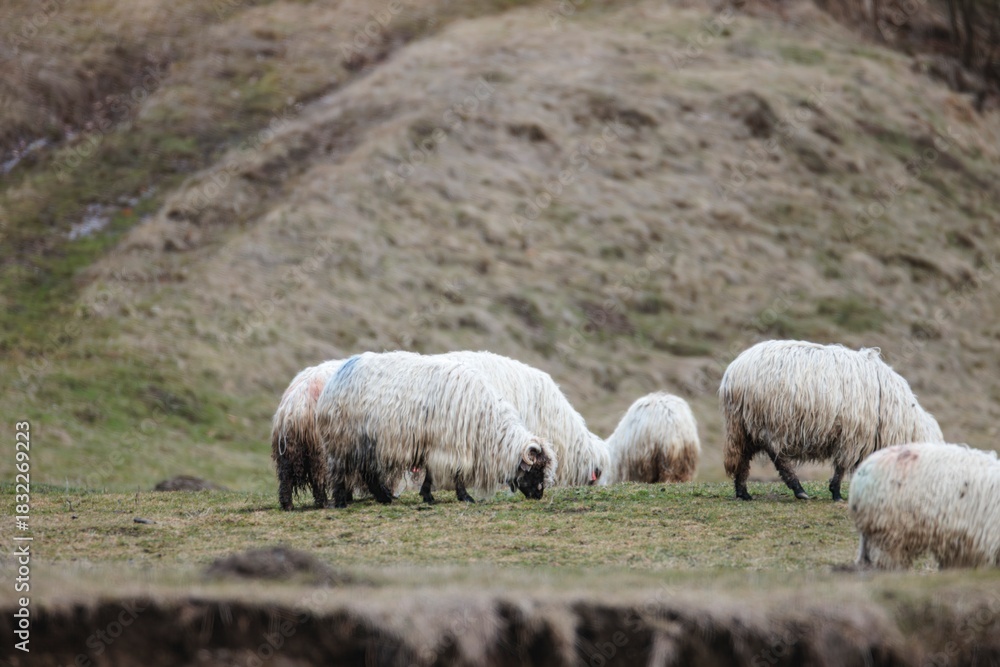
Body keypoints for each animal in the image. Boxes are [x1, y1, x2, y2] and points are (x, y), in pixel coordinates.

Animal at [315, 351, 558, 507]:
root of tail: (337, 377)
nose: (539, 495)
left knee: (368, 473)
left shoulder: (435, 445)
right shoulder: (449, 446)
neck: (487, 425)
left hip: (367, 443)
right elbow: (456, 474)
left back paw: (384, 498)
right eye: (537, 469)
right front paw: (464, 496)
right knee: (340, 471)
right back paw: (341, 501)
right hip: (344, 440)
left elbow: (431, 474)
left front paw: (427, 495)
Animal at [720, 339, 944, 501]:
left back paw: (743, 492)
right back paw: (798, 490)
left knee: (744, 457)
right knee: (777, 456)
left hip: (744, 425)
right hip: (767, 422)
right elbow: (842, 467)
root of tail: (733, 372)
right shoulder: (853, 437)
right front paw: (836, 493)